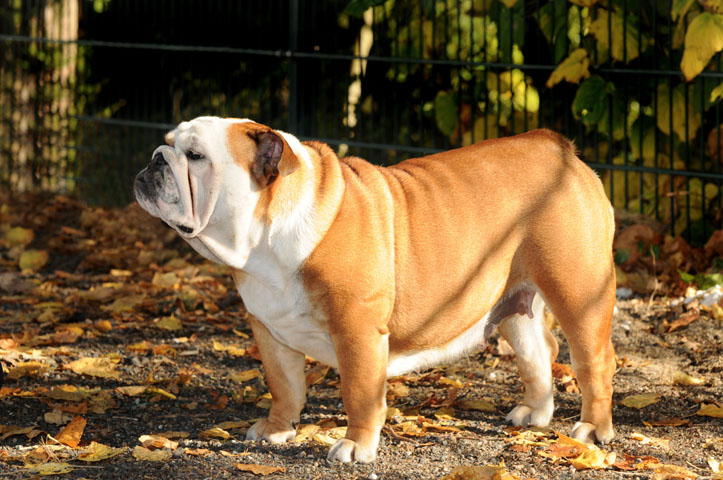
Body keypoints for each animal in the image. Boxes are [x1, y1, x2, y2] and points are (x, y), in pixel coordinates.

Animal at [134, 116, 616, 463]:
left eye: (196, 156)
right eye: (168, 142)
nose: (156, 158)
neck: (262, 242)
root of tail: (560, 149)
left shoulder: (357, 331)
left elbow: (359, 393)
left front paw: (355, 445)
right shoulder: (269, 332)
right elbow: (284, 385)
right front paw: (276, 429)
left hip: (579, 292)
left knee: (594, 361)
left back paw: (592, 430)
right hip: (512, 300)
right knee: (538, 351)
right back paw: (534, 414)